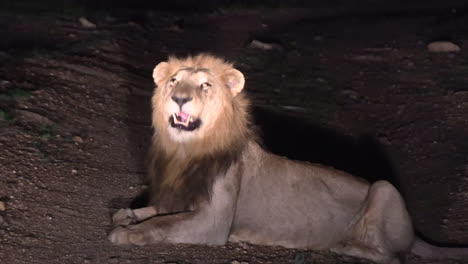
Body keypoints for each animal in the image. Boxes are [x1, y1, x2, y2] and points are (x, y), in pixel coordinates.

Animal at [109, 53, 468, 264]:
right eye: (173, 81)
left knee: (393, 257)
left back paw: (345, 244)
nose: (180, 98)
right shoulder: (179, 196)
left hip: (383, 188)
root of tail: (416, 233)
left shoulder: (213, 222)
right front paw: (128, 214)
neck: (186, 149)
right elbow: (156, 211)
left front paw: (127, 233)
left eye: (205, 85)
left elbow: (164, 223)